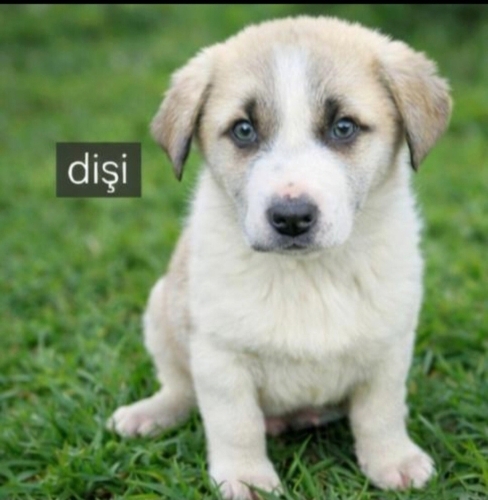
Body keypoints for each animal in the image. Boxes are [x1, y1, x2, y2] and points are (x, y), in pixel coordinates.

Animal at [108, 16, 451, 499]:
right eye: (243, 130)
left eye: (343, 128)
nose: (291, 218)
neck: (308, 273)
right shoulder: (220, 354)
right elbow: (236, 423)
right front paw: (246, 477)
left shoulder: (389, 343)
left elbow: (381, 412)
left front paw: (392, 461)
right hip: (161, 310)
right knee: (179, 386)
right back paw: (149, 415)